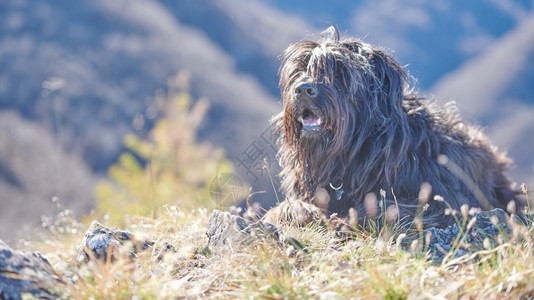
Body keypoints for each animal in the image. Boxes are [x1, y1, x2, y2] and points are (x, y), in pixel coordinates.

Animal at [270, 27, 520, 227]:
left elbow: (389, 206)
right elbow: (289, 206)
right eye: (301, 69)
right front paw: (302, 212)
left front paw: (347, 218)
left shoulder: (447, 200)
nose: (303, 90)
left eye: (340, 71)